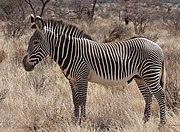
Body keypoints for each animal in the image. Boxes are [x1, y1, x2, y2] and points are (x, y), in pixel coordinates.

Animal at [22, 15, 166, 126]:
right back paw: (145, 122)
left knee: (160, 94)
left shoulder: (82, 77)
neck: (71, 52)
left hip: (150, 74)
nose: (24, 64)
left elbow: (83, 99)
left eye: (35, 42)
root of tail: (158, 46)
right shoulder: (72, 80)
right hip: (140, 77)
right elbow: (75, 100)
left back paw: (162, 124)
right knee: (148, 96)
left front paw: (83, 122)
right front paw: (75, 121)